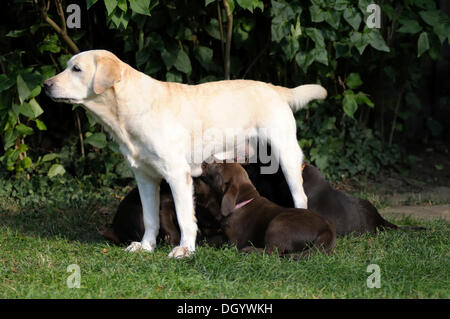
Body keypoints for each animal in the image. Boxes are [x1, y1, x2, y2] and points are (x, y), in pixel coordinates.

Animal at [200, 162, 334, 260]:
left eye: (218, 166)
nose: (203, 163)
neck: (241, 201)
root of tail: (327, 230)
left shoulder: (233, 241)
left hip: (278, 224)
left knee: (272, 252)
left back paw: (249, 250)